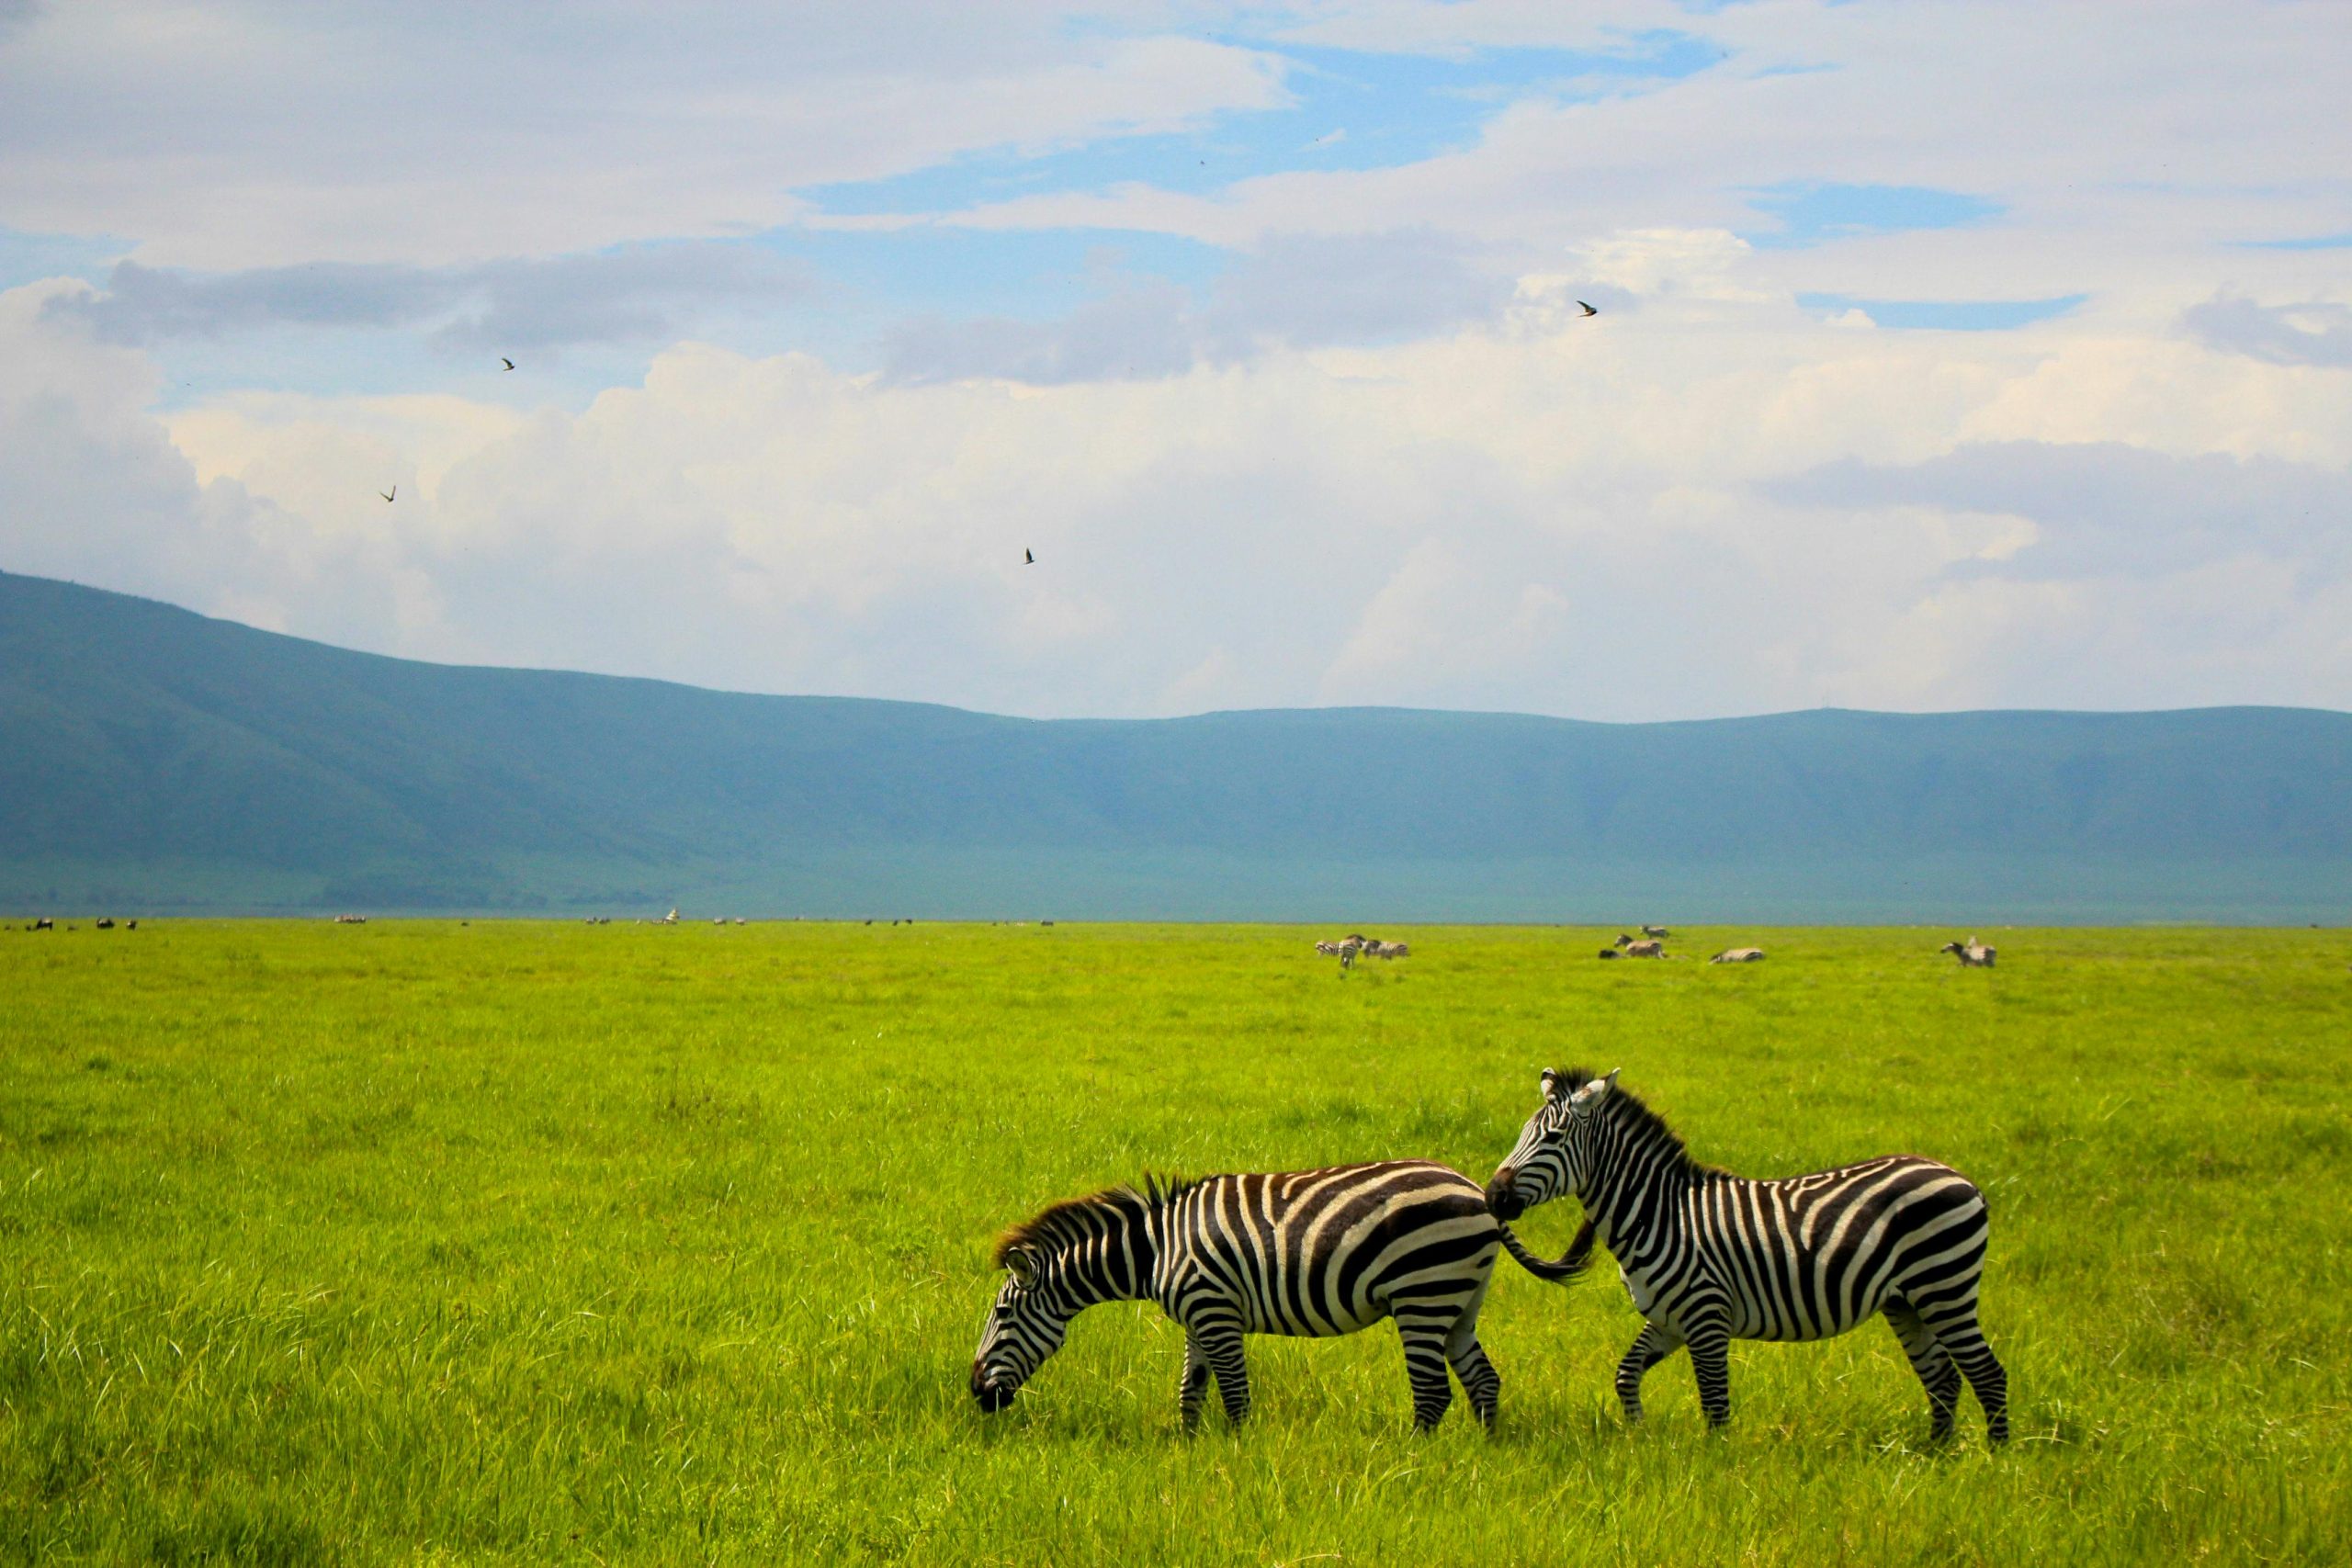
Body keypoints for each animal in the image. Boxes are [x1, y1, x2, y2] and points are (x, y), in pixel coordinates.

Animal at [970, 1162, 1596, 1433]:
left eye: (1001, 1314)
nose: (976, 1393)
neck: (1156, 1249)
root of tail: (1476, 1192)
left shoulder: (1215, 1311)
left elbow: (1235, 1396)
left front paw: (1239, 1454)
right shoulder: (1198, 1317)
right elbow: (1190, 1392)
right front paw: (1187, 1449)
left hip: (1422, 1294)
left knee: (1433, 1393)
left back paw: (1415, 1459)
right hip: (1459, 1300)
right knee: (1483, 1381)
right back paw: (1485, 1453)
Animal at [1486, 1069, 2008, 1444]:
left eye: (1552, 1139)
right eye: (1521, 1133)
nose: (1493, 1195)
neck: (1662, 1212)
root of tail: (1960, 1178)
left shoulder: (1707, 1315)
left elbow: (1715, 1403)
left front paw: (1718, 1469)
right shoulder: (1669, 1318)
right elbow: (1626, 1374)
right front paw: (1638, 1436)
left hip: (1944, 1287)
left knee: (1987, 1374)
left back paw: (1993, 1459)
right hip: (1906, 1302)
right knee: (1943, 1378)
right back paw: (1936, 1455)